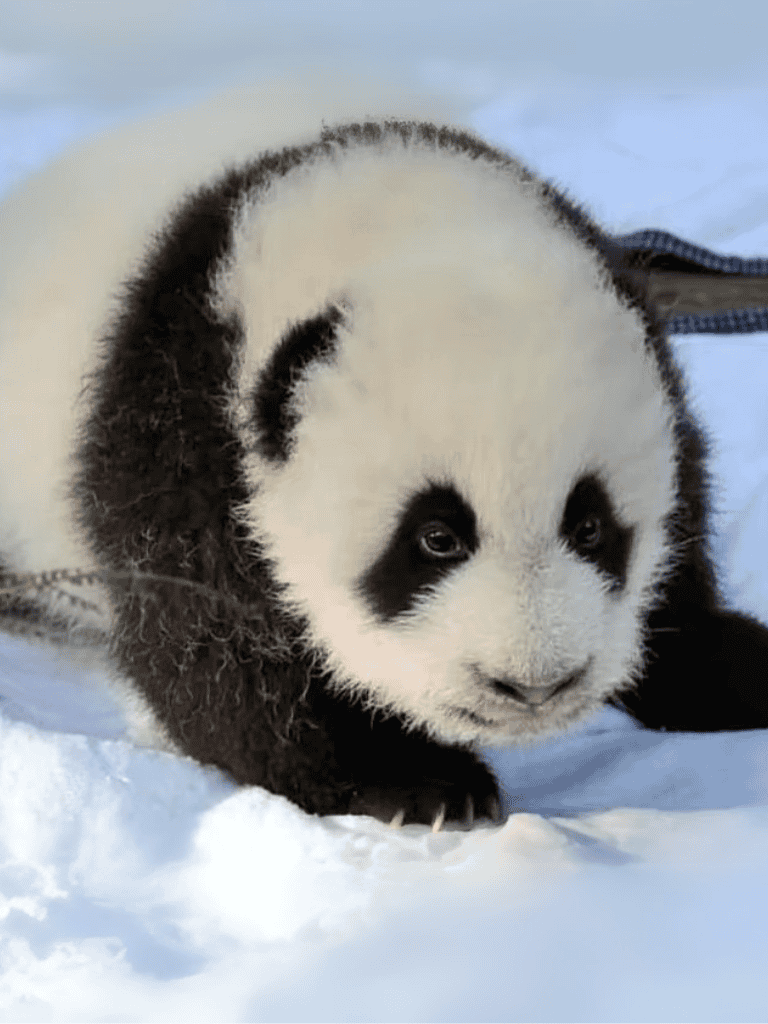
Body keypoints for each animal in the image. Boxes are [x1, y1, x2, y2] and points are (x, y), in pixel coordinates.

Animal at [2, 86, 768, 828]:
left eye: (590, 526)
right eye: (435, 538)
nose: (533, 684)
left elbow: (683, 522)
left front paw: (728, 665)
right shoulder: (179, 426)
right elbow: (216, 652)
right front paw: (422, 780)